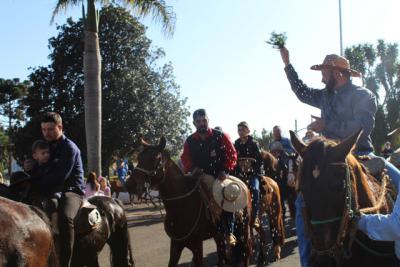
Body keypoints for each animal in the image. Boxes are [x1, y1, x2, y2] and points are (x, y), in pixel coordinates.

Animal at [127, 138, 250, 267]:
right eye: (139, 157)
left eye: (156, 158)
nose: (129, 185)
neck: (181, 205)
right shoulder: (176, 244)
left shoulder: (197, 246)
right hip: (218, 234)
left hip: (244, 228)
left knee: (245, 250)